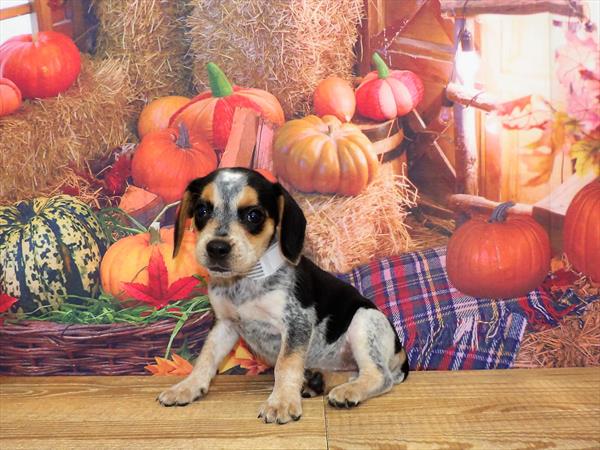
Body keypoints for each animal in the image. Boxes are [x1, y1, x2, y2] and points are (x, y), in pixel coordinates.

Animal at [157, 167, 410, 424]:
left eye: (254, 215)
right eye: (202, 210)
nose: (217, 248)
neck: (247, 280)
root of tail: (400, 352)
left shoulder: (297, 323)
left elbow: (285, 365)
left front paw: (281, 403)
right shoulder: (224, 325)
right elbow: (205, 358)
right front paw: (187, 387)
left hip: (364, 321)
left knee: (379, 376)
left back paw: (347, 391)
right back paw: (318, 381)